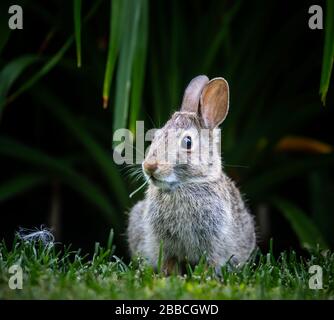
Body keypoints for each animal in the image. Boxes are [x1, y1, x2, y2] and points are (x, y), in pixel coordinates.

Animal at [127, 75, 256, 276]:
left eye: (187, 142)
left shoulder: (213, 243)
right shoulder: (166, 246)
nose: (149, 166)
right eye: (156, 136)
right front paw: (171, 277)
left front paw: (203, 277)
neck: (184, 185)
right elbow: (169, 263)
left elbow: (209, 263)